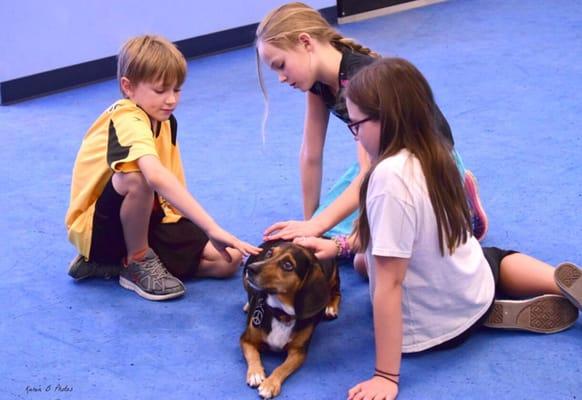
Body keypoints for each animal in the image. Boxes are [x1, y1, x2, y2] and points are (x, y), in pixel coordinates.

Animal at [241, 239, 342, 398]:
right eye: (270, 253)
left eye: (288, 265)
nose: (251, 269)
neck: (281, 313)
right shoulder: (246, 340)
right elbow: (253, 354)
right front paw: (256, 373)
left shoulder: (298, 352)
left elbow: (282, 368)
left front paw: (270, 384)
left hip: (333, 276)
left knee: (337, 292)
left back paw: (330, 307)